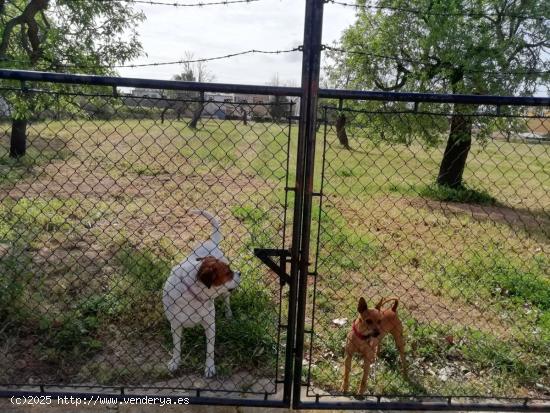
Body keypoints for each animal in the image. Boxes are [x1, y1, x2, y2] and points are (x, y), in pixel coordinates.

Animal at [164, 209, 242, 376]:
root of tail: (211, 241)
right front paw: (175, 362)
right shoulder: (175, 325)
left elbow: (210, 350)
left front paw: (210, 367)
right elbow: (176, 346)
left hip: (225, 295)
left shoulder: (210, 324)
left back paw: (229, 314)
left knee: (226, 301)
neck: (194, 295)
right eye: (228, 273)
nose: (240, 273)